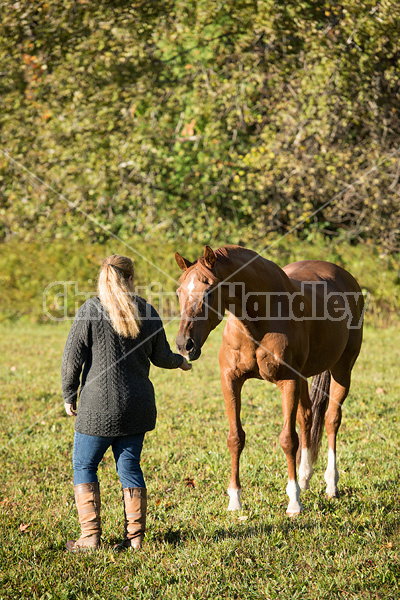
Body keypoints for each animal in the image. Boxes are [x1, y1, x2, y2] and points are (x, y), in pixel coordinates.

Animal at [173, 246, 364, 512]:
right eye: (179, 292)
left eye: (209, 291)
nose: (184, 344)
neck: (257, 320)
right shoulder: (230, 380)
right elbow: (235, 438)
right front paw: (235, 500)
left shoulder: (288, 382)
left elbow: (288, 440)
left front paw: (294, 503)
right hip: (306, 377)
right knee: (307, 417)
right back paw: (305, 478)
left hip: (342, 369)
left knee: (331, 420)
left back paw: (331, 485)